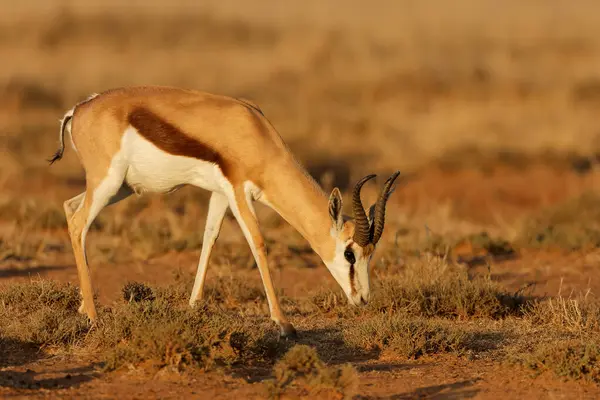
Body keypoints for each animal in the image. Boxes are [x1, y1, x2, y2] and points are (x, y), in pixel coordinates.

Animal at [49, 86, 400, 336]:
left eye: (371, 254)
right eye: (349, 254)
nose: (363, 298)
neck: (254, 134)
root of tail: (79, 110)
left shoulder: (219, 193)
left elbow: (210, 238)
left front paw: (192, 308)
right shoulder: (239, 190)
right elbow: (258, 243)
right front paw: (284, 324)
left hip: (119, 187)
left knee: (69, 207)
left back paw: (82, 307)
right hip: (107, 183)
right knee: (79, 223)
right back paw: (93, 317)